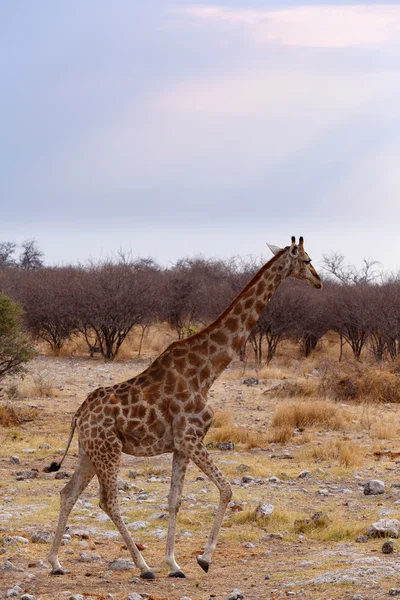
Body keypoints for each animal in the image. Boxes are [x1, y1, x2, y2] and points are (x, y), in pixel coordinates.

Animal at [45, 237, 324, 580]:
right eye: (307, 260)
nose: (319, 281)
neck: (206, 373)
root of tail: (78, 415)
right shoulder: (192, 438)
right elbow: (227, 490)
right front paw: (204, 559)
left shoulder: (180, 445)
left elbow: (174, 501)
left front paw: (175, 564)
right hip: (109, 450)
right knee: (108, 501)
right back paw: (143, 567)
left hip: (89, 451)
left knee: (68, 493)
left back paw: (56, 562)